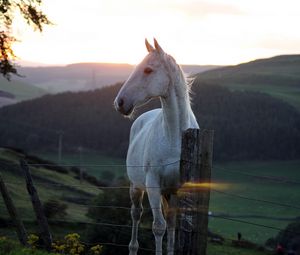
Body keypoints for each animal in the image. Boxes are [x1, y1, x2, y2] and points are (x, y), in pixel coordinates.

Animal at [113, 38, 198, 254]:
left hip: (168, 193)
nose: (119, 102)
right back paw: (133, 248)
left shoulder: (178, 188)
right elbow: (158, 227)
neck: (175, 136)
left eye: (148, 70)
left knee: (170, 220)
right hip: (136, 188)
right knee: (136, 214)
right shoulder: (152, 185)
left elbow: (173, 226)